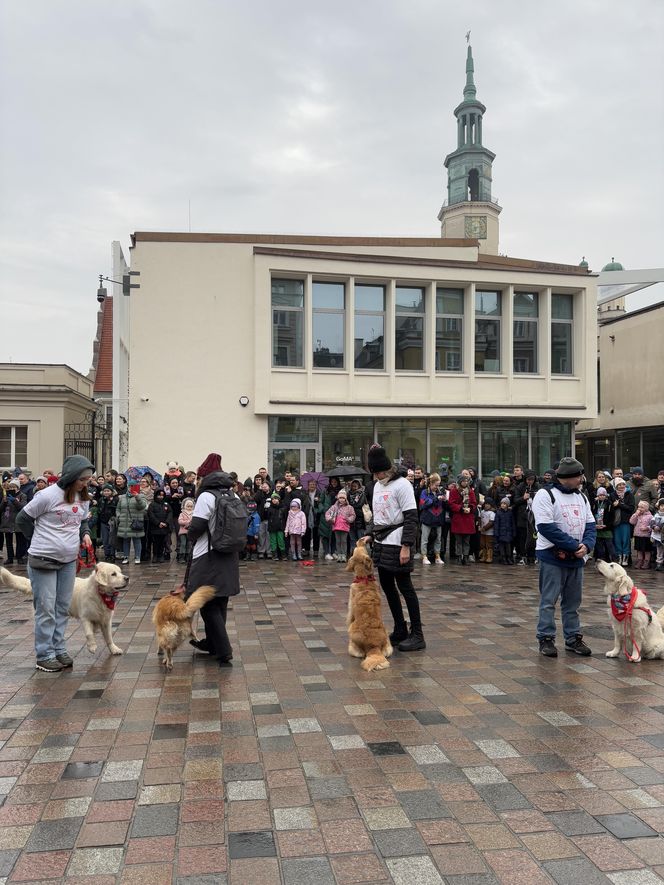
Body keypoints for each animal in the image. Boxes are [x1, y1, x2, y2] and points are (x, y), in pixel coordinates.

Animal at [0, 564, 128, 652]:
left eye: (120, 572)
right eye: (113, 574)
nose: (127, 578)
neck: (100, 594)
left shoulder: (106, 620)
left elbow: (109, 637)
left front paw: (114, 649)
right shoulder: (85, 617)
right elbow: (89, 634)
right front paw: (92, 646)